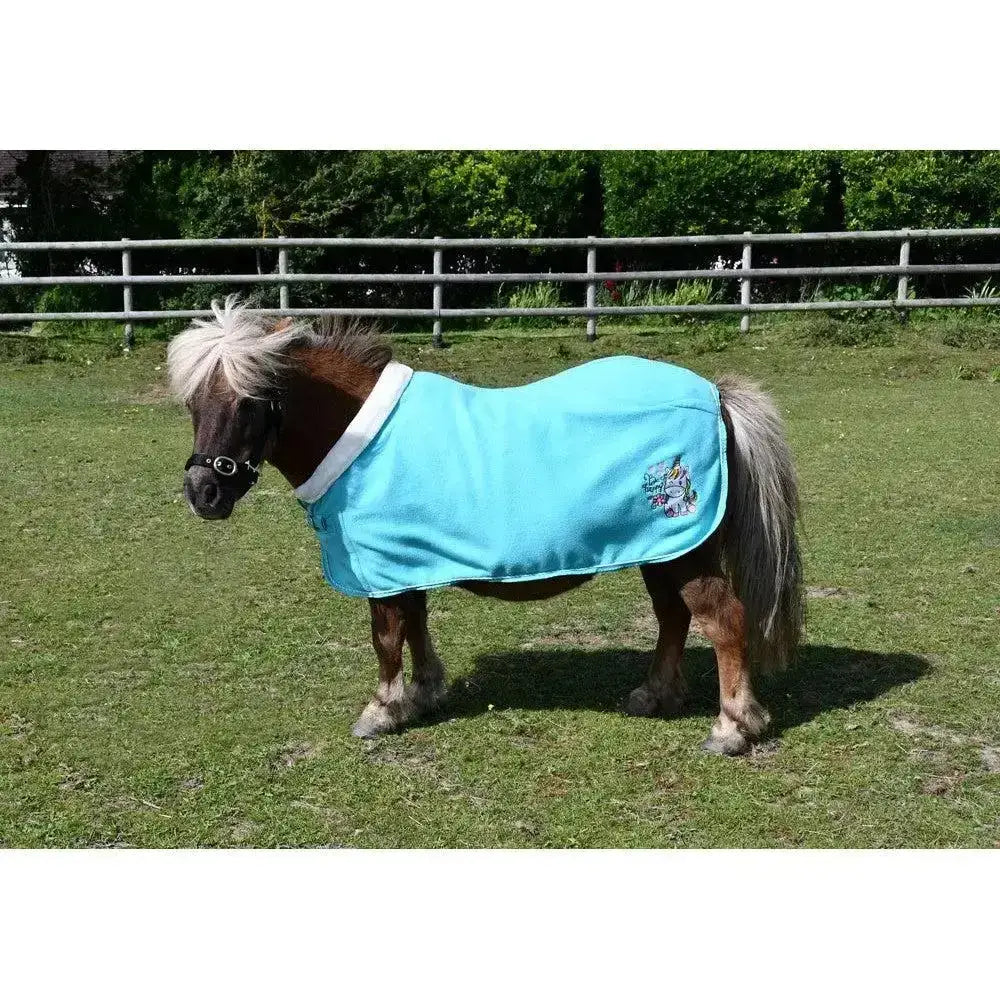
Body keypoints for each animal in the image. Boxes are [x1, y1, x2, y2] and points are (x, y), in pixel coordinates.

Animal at [168, 297, 803, 755]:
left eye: (250, 402)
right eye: (193, 404)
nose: (203, 495)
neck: (358, 436)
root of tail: (714, 396)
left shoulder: (384, 570)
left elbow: (387, 637)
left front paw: (381, 711)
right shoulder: (407, 562)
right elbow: (416, 626)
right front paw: (423, 694)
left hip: (683, 549)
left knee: (722, 620)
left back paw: (732, 728)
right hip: (659, 548)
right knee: (673, 617)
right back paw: (654, 695)